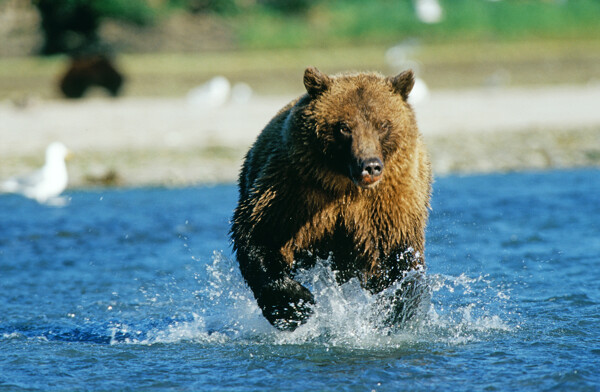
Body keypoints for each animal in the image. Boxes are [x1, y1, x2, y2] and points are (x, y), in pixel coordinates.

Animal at [230, 67, 432, 330]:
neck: (345, 185)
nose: (370, 166)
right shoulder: (292, 191)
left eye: (383, 124)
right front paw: (296, 306)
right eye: (344, 127)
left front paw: (394, 312)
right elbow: (259, 236)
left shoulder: (390, 206)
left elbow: (399, 260)